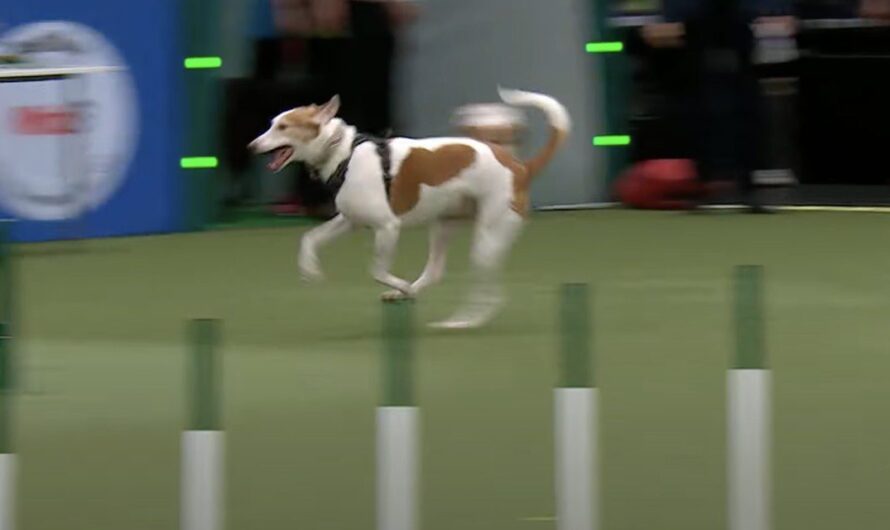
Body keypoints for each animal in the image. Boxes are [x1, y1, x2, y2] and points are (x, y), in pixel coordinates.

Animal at [250, 86, 568, 326]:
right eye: (272, 124)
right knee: (435, 271)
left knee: (490, 294)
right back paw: (414, 295)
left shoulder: (387, 227)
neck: (344, 153)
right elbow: (309, 239)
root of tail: (521, 167)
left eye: (283, 127)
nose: (251, 147)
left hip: (488, 238)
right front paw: (310, 270)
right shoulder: (350, 221)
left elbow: (377, 271)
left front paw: (400, 285)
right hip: (444, 225)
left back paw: (461, 321)